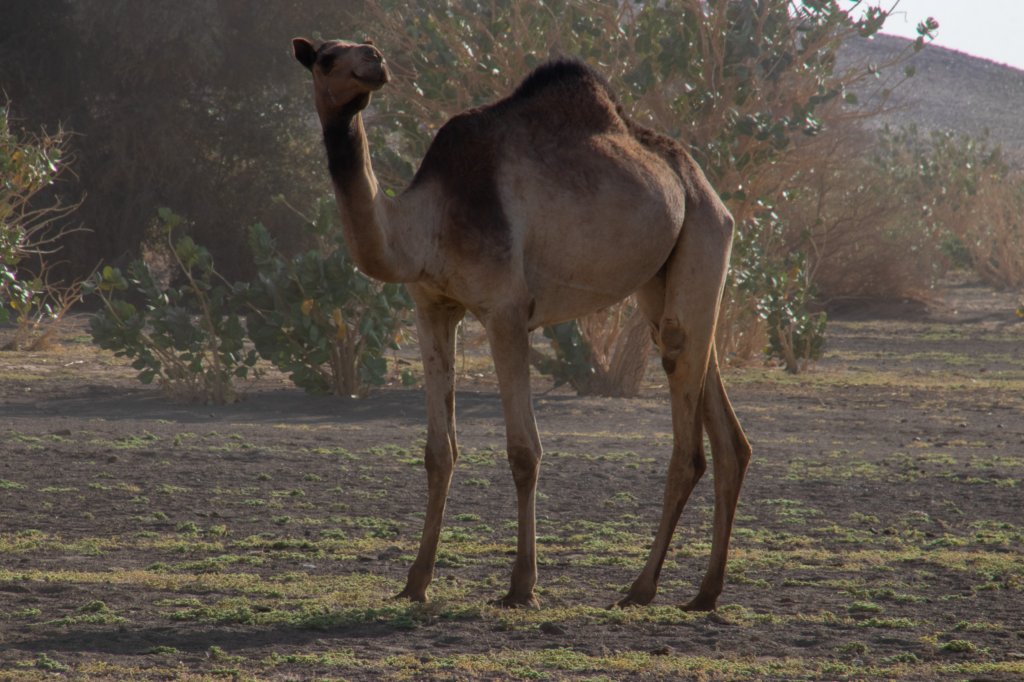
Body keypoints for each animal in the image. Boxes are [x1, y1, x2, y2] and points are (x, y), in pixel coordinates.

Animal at [294, 37, 753, 606]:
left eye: (360, 50)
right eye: (326, 58)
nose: (374, 61)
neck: (425, 224)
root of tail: (704, 184)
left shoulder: (506, 312)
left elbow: (523, 452)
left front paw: (521, 586)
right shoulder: (431, 308)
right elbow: (438, 451)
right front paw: (415, 582)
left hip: (704, 235)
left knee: (687, 435)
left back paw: (640, 588)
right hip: (665, 275)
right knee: (722, 421)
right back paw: (705, 593)